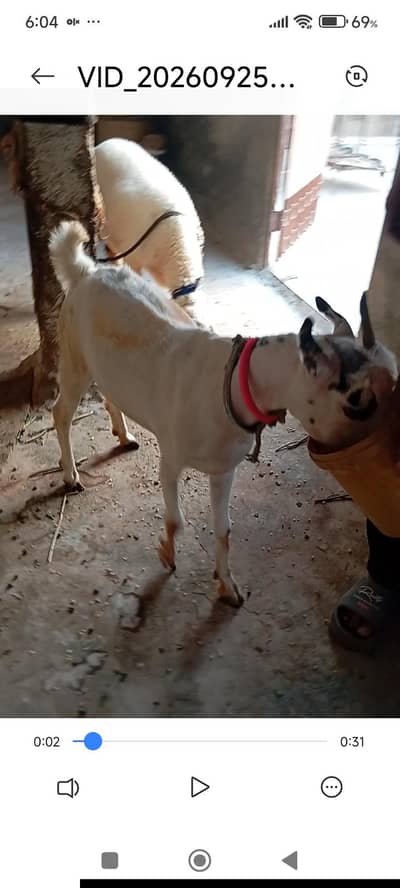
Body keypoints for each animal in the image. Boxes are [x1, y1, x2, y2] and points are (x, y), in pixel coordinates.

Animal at [49, 221, 397, 608]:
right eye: (358, 401)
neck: (229, 388)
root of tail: (86, 270)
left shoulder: (223, 469)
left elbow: (224, 530)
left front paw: (228, 587)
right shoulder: (171, 458)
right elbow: (176, 520)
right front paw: (167, 555)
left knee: (112, 394)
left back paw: (124, 436)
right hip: (74, 356)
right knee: (61, 411)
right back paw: (71, 475)